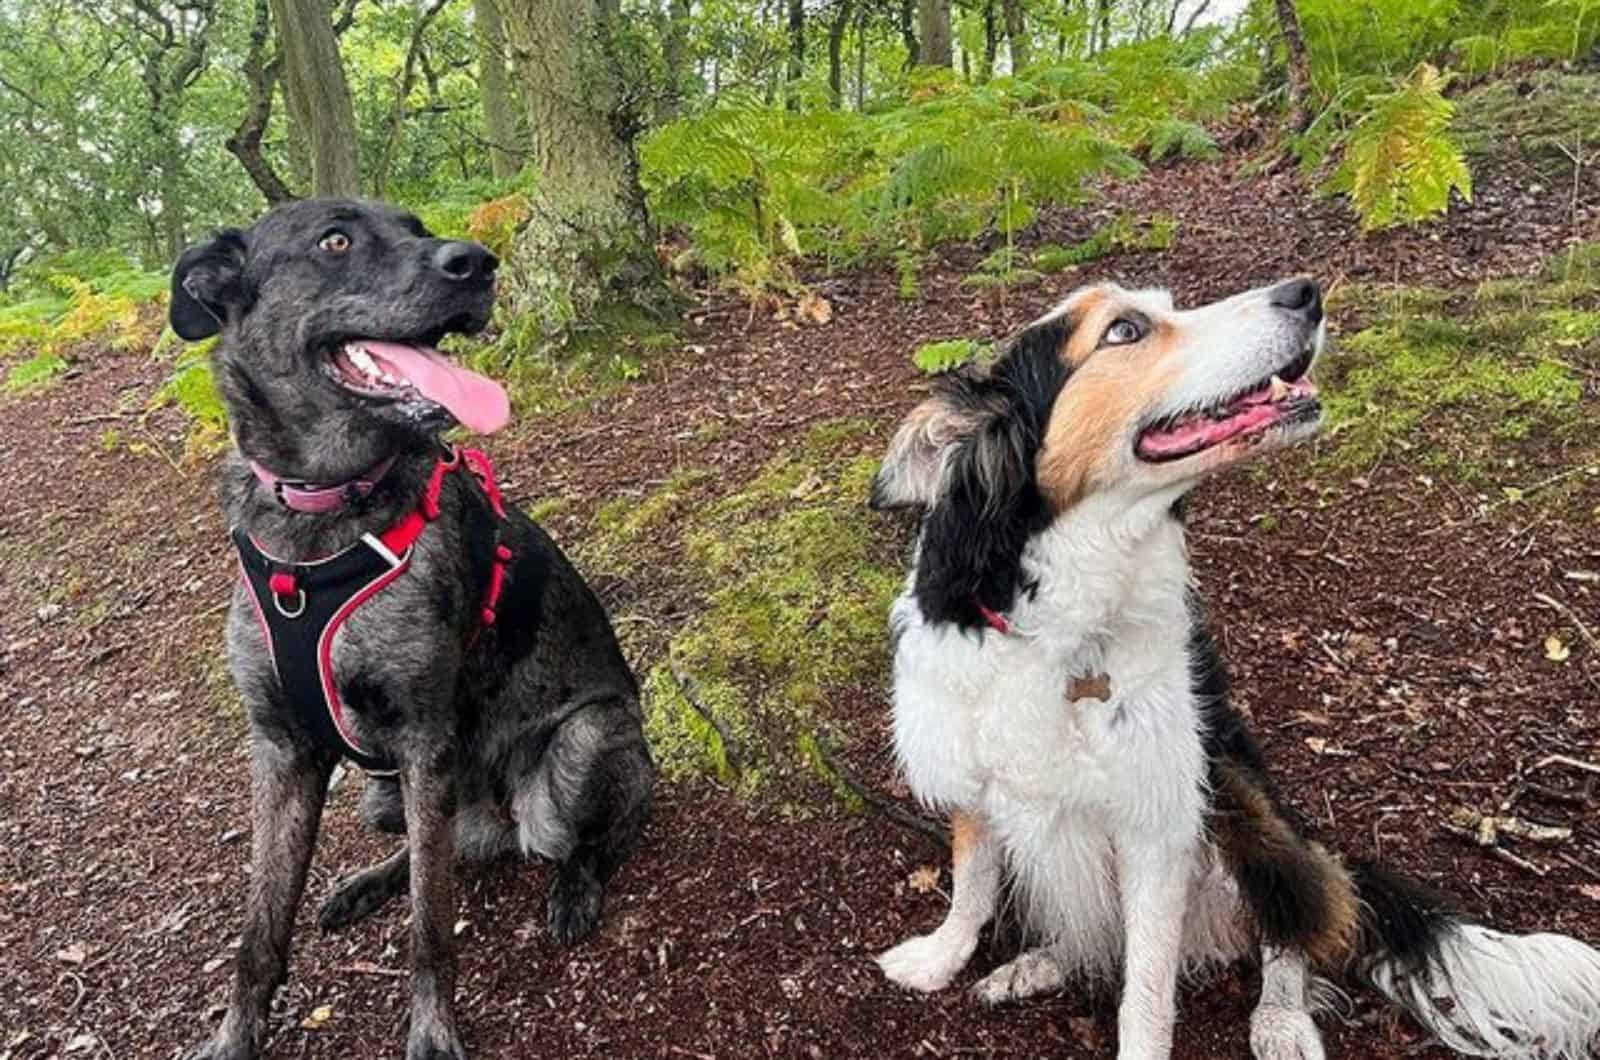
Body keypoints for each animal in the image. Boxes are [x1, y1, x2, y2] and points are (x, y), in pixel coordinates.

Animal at [170, 196, 649, 1060]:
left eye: (420, 228)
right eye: (335, 241)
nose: (478, 263)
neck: (320, 510)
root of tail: (497, 820)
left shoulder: (425, 738)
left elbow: (432, 926)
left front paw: (431, 1032)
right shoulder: (281, 748)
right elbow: (260, 926)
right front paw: (234, 1036)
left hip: (582, 745)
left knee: (599, 834)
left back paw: (575, 887)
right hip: (385, 794)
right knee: (435, 847)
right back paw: (368, 882)